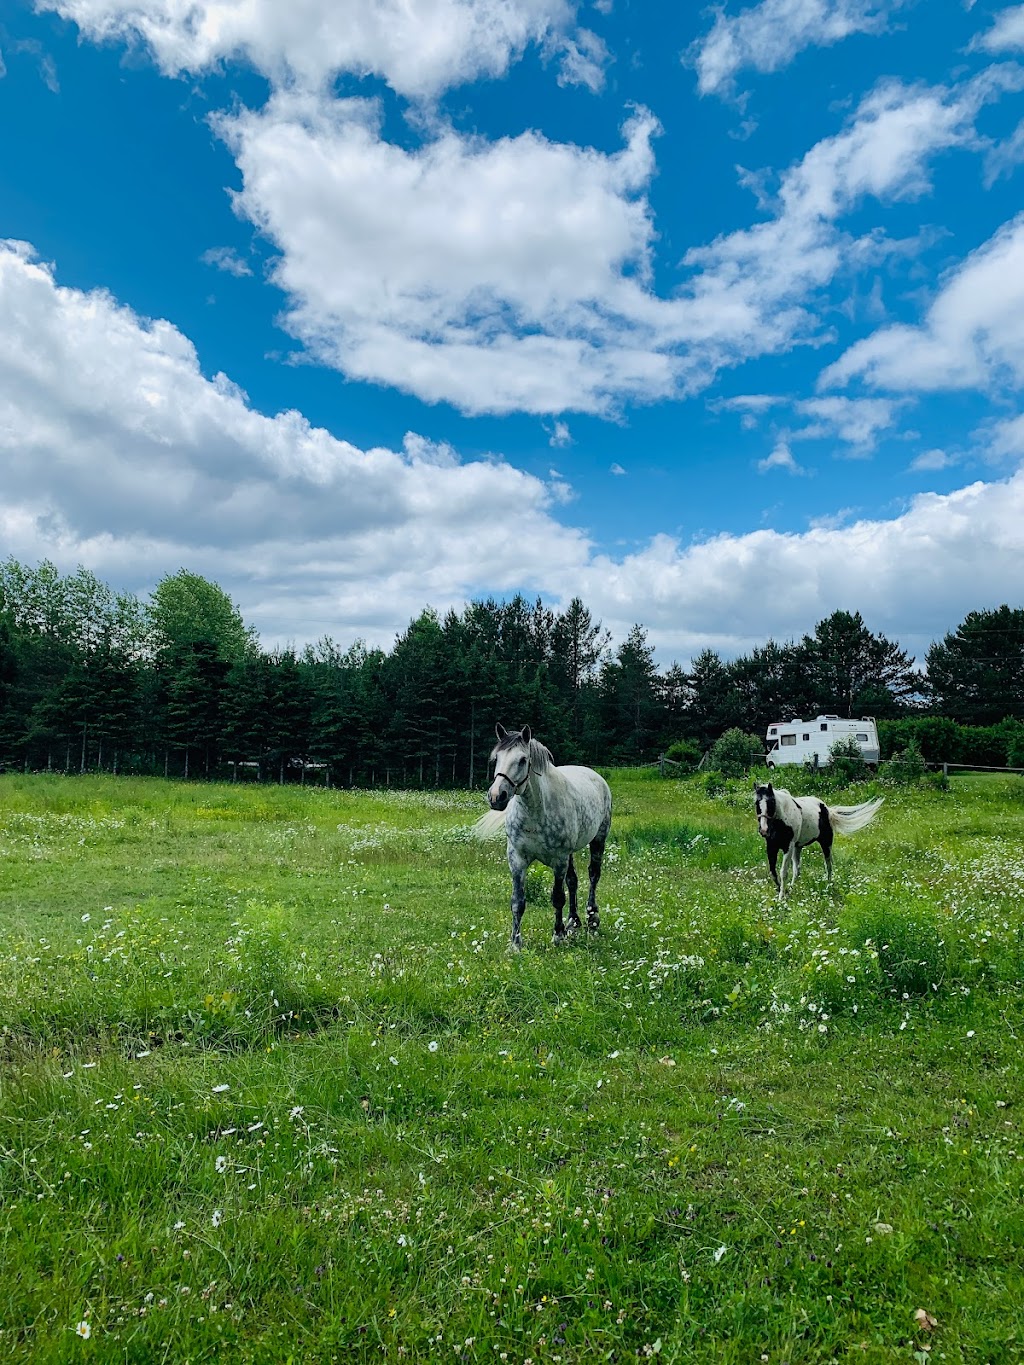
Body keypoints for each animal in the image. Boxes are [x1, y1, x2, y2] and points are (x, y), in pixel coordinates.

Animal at [472, 726, 608, 950]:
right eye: (496, 758)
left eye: (522, 760)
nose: (496, 797)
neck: (535, 811)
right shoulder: (517, 859)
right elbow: (518, 901)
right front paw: (515, 943)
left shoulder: (559, 860)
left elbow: (558, 897)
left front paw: (558, 935)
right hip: (570, 854)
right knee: (573, 881)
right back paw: (573, 923)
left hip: (598, 839)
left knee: (593, 876)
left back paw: (592, 920)